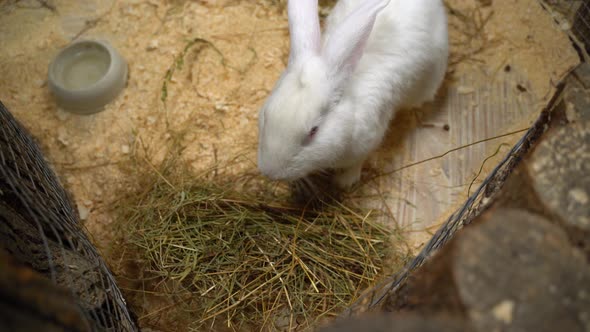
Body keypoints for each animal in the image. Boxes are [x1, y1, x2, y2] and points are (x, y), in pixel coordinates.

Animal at [258, 0, 448, 187]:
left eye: (314, 131)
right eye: (266, 116)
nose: (271, 173)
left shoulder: (368, 142)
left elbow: (357, 163)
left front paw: (344, 182)